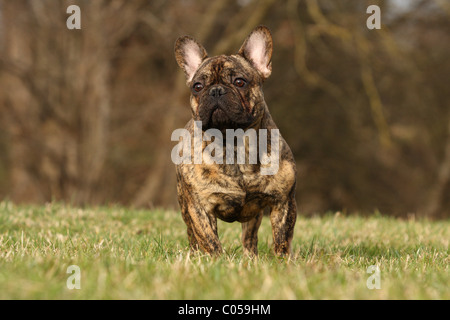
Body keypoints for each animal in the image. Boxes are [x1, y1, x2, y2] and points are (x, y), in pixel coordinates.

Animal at [174, 25, 298, 256]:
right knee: (192, 235)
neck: (234, 144)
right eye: (197, 86)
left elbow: (282, 238)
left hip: (254, 216)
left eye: (239, 82)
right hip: (184, 205)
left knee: (249, 237)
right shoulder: (200, 207)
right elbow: (209, 239)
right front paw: (216, 259)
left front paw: (282, 261)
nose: (215, 90)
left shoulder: (283, 202)